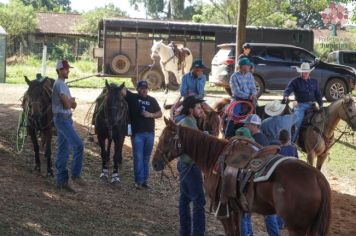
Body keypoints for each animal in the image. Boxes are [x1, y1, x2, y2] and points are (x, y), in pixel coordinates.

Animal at [152, 118, 330, 236]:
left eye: (165, 139)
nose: (154, 163)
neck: (215, 157)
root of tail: (317, 177)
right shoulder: (235, 209)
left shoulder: (223, 209)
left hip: (296, 228)